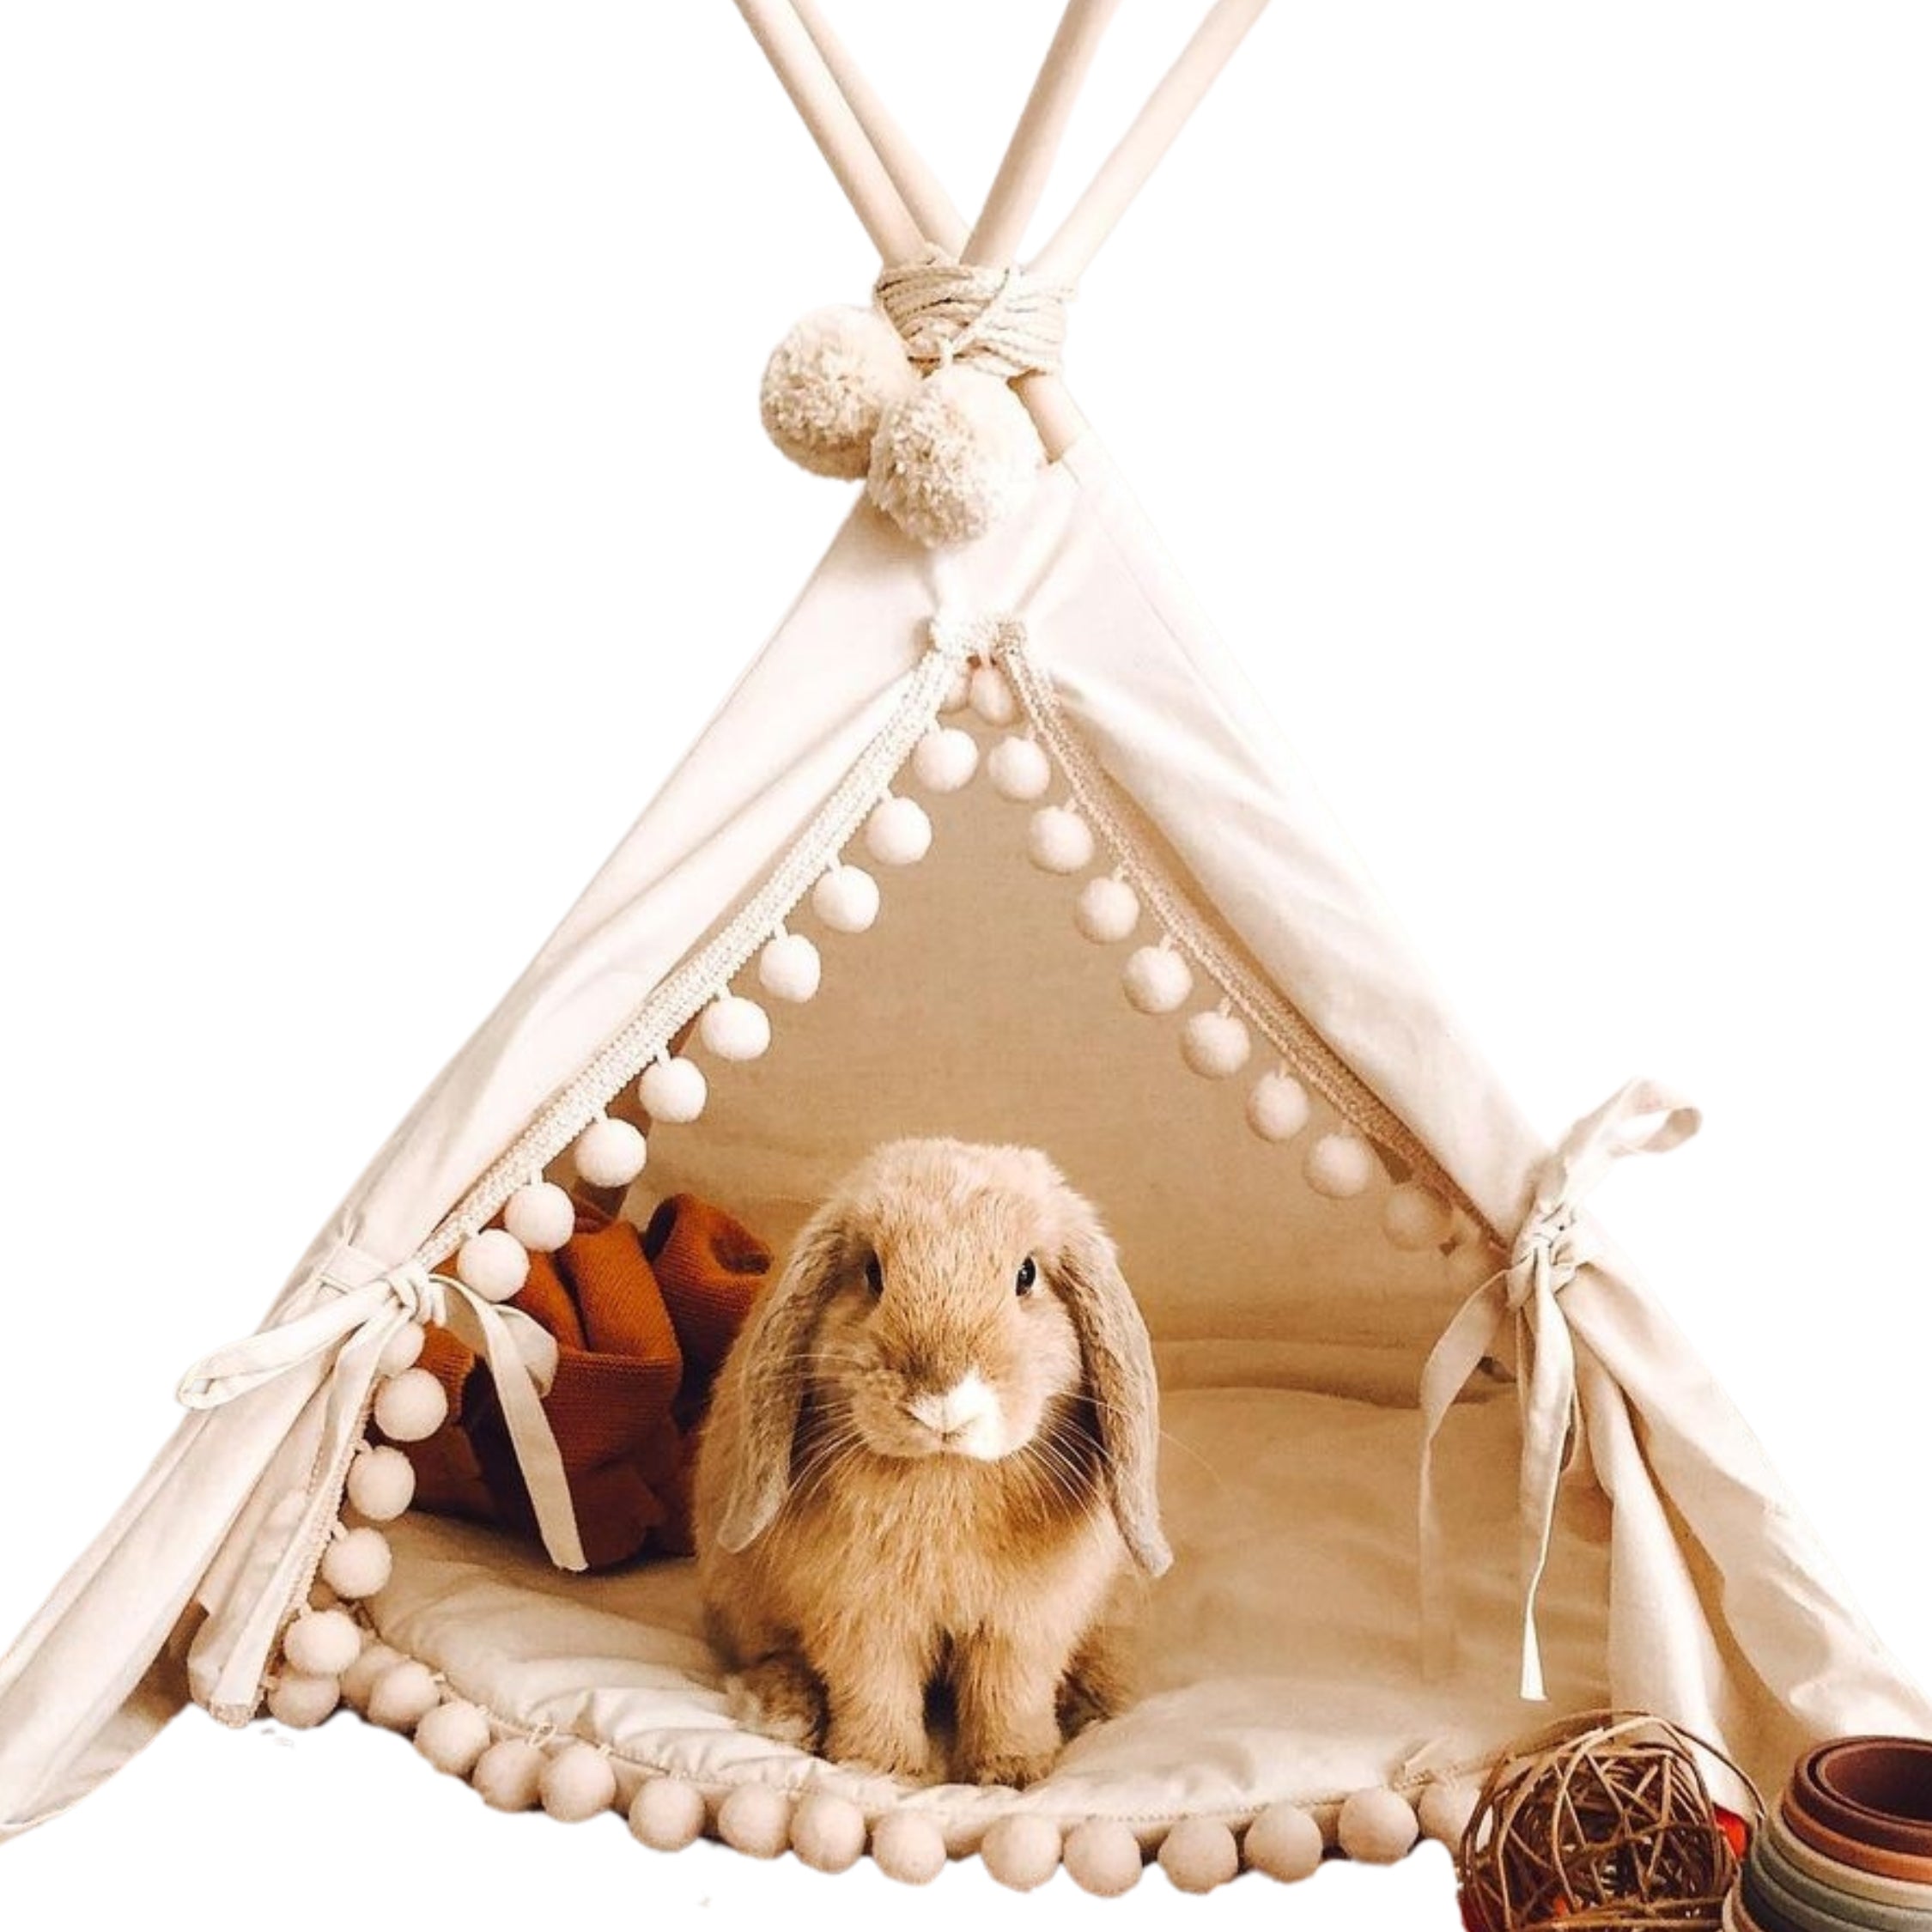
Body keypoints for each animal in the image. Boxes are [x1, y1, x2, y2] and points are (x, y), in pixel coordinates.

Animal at [692, 1137, 1171, 1788]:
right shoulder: (863, 1619)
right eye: (873, 1273)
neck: (947, 1472)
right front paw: (881, 1769)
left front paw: (1013, 1773)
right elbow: (876, 1690)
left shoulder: (1023, 1626)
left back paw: (1096, 1700)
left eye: (1026, 1275)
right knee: (772, 1656)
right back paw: (782, 1713)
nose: (943, 1398)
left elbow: (1009, 1693)